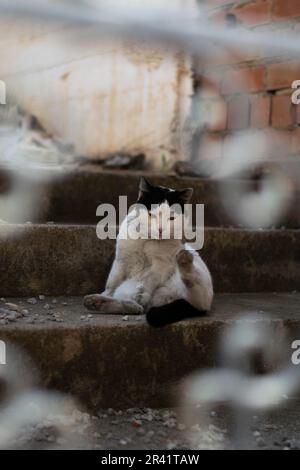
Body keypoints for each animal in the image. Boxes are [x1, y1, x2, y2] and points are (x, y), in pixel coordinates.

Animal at [83, 176, 212, 326]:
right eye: (152, 215)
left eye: (171, 218)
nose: (161, 229)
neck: (147, 240)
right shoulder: (121, 261)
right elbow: (112, 283)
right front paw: (105, 294)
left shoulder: (160, 267)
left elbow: (148, 280)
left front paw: (140, 294)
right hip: (128, 287)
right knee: (134, 307)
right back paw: (97, 301)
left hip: (194, 279)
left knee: (191, 287)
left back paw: (184, 260)